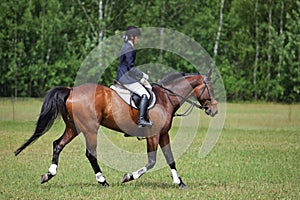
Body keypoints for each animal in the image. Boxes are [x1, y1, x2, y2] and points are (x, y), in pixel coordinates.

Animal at [14, 69, 218, 188]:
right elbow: (152, 161)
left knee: (58, 144)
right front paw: (128, 177)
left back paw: (49, 175)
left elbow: (170, 158)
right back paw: (103, 181)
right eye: (210, 88)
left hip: (74, 128)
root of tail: (71, 91)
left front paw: (179, 182)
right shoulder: (153, 135)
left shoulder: (163, 134)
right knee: (91, 154)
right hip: (90, 129)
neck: (166, 98)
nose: (214, 110)